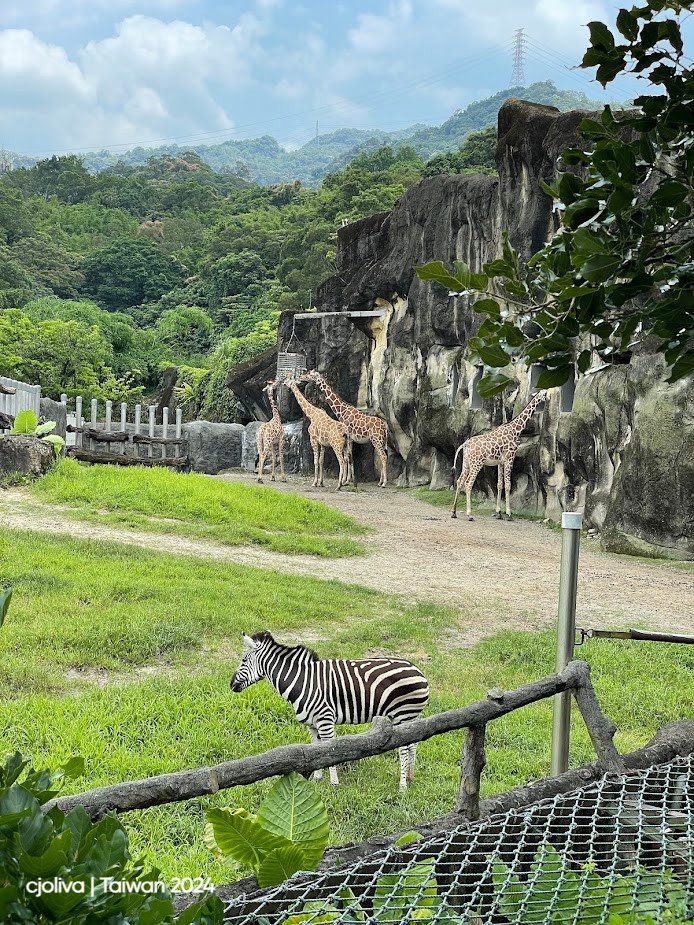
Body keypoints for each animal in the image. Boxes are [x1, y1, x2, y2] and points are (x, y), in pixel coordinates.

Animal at [230, 631, 429, 790]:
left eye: (243, 660)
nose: (230, 685)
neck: (301, 681)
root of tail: (419, 671)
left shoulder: (325, 720)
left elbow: (330, 753)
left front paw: (334, 783)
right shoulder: (311, 724)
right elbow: (315, 751)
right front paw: (317, 779)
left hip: (402, 714)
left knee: (404, 749)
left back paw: (402, 786)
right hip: (408, 718)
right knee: (413, 744)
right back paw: (410, 777)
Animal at [451, 390, 548, 521]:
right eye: (544, 393)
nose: (547, 399)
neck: (515, 430)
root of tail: (465, 444)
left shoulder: (500, 462)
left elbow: (499, 484)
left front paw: (499, 513)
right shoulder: (509, 458)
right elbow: (508, 485)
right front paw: (509, 513)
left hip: (466, 463)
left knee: (460, 481)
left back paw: (454, 512)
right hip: (476, 463)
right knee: (468, 483)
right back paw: (469, 514)